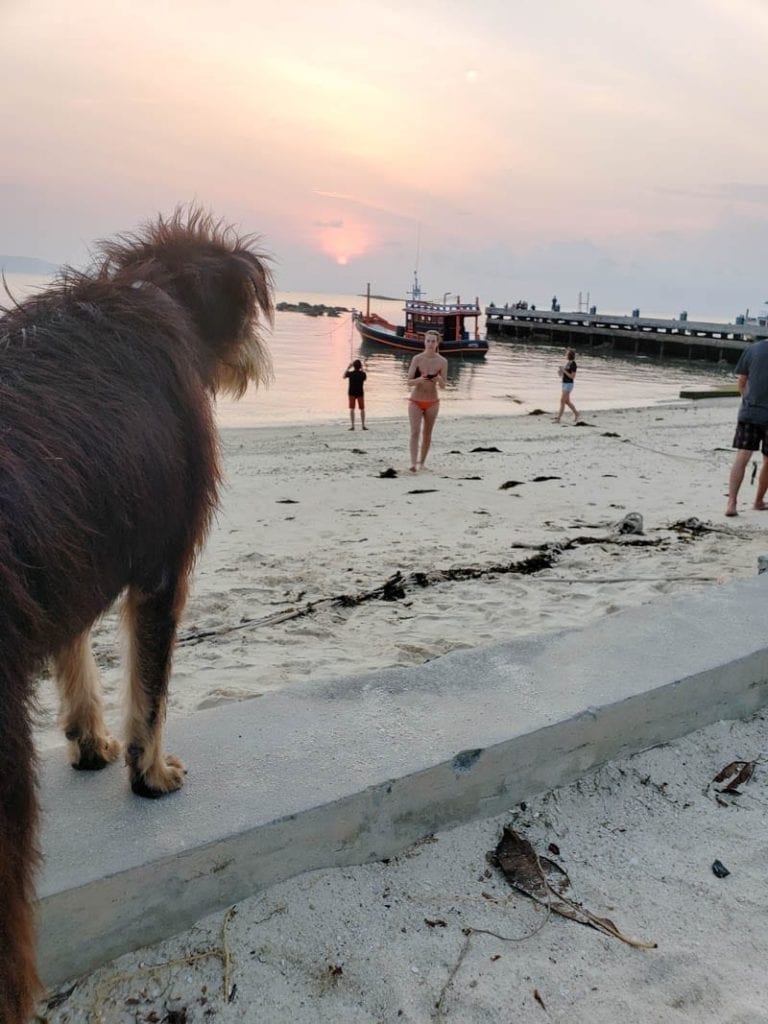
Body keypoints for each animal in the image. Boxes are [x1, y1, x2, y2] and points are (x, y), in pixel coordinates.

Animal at [0, 205, 274, 1015]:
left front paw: (89, 741)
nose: (256, 355)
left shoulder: (77, 547)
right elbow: (151, 690)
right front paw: (147, 773)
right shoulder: (160, 565)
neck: (151, 291)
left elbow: (74, 650)